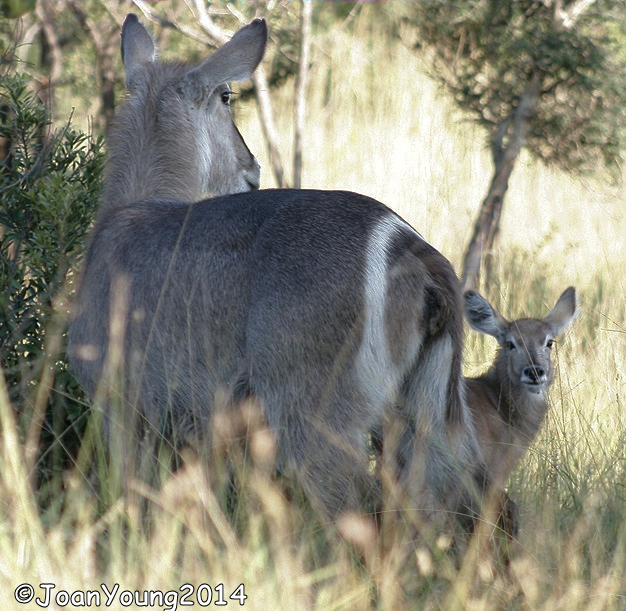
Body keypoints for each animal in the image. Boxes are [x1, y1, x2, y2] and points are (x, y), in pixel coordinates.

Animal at [68, 13, 494, 532]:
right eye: (226, 98)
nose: (252, 169)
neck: (126, 213)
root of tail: (409, 245)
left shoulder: (120, 404)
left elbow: (134, 500)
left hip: (315, 413)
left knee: (357, 511)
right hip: (427, 414)